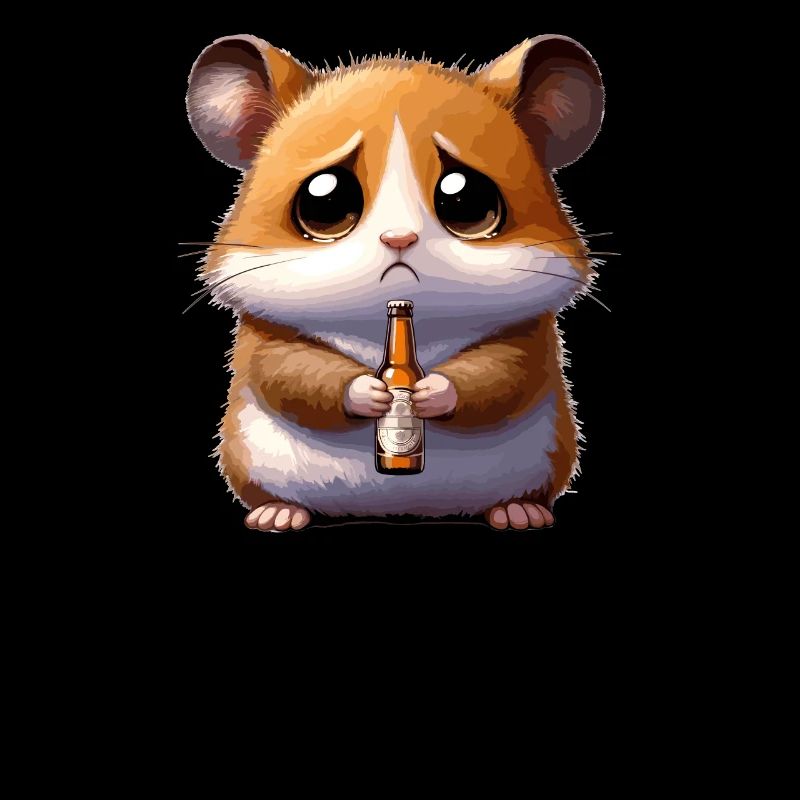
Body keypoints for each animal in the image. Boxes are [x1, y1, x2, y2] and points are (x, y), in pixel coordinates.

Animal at [184, 34, 605, 532]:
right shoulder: (267, 335)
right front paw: (370, 392)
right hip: (245, 455)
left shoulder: (528, 333)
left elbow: (504, 371)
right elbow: (289, 369)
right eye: (324, 201)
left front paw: (430, 393)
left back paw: (520, 512)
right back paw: (277, 514)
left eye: (466, 199)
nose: (398, 236)